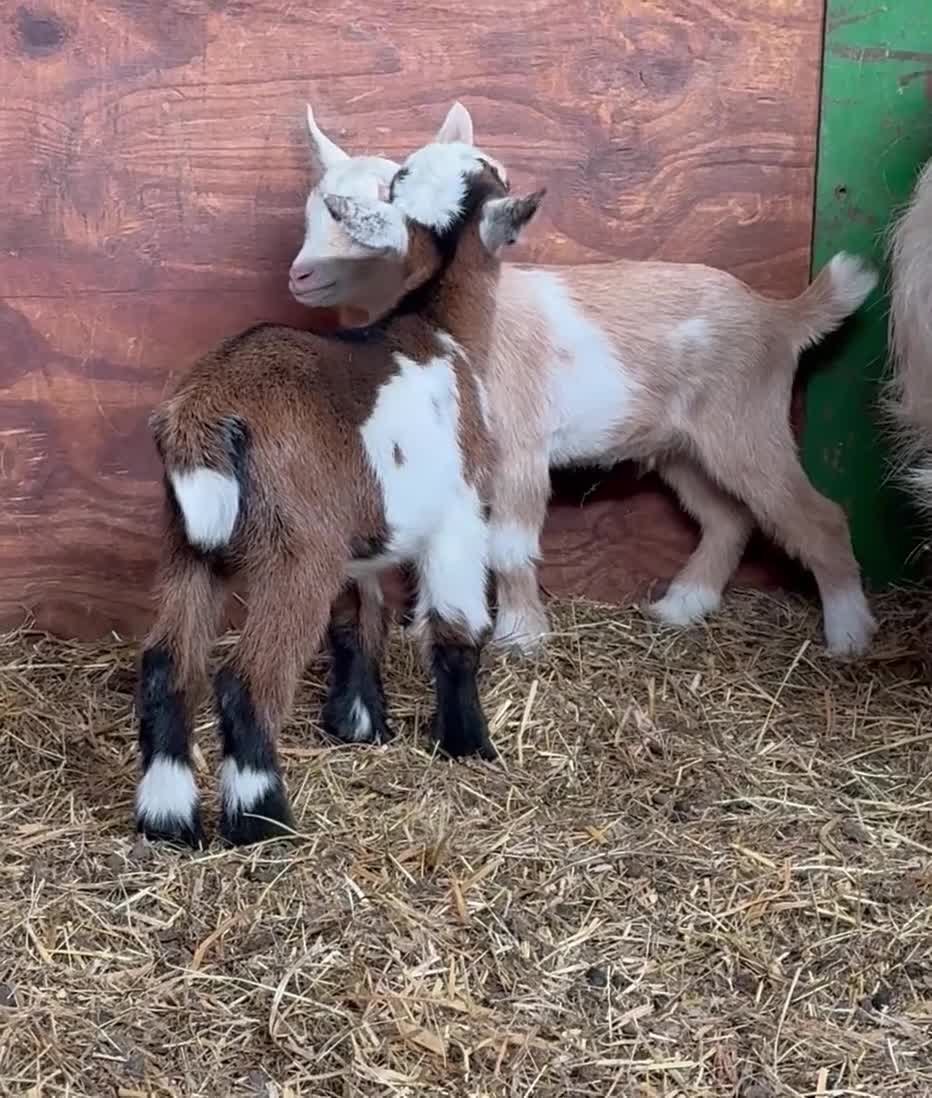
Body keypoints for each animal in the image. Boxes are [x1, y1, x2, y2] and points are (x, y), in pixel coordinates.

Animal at [135, 124, 543, 847]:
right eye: (494, 174)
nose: (503, 161)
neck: (438, 326)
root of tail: (205, 410)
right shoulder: (461, 512)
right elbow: (457, 628)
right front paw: (468, 743)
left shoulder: (362, 536)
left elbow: (359, 621)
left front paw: (360, 725)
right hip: (297, 548)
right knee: (245, 680)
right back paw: (262, 817)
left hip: (189, 541)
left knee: (166, 666)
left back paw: (168, 818)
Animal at [290, 101, 879, 663]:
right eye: (310, 213)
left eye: (383, 197)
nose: (300, 275)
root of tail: (779, 316)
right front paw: (427, 629)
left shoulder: (520, 448)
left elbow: (507, 547)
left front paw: (521, 636)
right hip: (682, 445)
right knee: (728, 520)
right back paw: (682, 607)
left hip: (746, 423)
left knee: (818, 517)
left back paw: (850, 634)